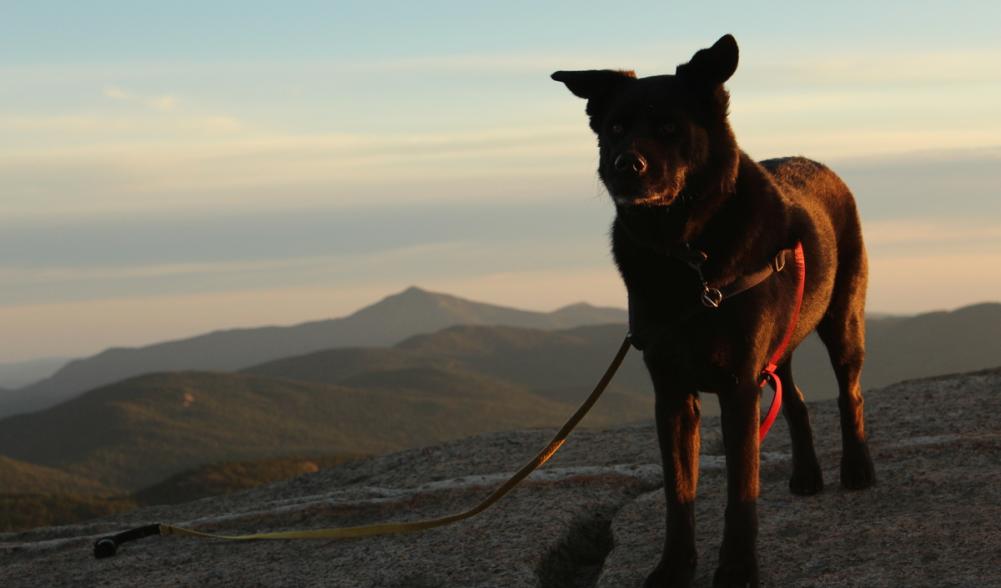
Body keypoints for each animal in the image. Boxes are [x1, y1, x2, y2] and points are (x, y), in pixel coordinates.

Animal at [556, 34, 876, 584]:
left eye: (669, 127)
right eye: (615, 128)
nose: (625, 165)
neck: (685, 256)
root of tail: (818, 163)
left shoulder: (737, 387)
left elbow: (741, 493)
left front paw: (738, 569)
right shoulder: (672, 393)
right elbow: (678, 495)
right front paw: (673, 568)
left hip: (843, 320)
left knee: (848, 392)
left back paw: (857, 468)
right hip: (779, 348)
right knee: (794, 400)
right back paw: (806, 473)